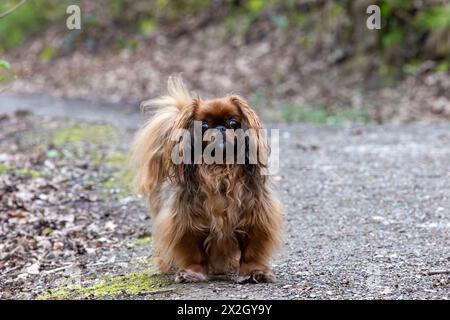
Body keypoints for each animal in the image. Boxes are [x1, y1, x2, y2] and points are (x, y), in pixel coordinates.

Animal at [132, 76, 284, 284]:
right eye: (203, 126)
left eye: (233, 122)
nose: (220, 128)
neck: (220, 170)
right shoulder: (187, 222)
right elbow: (194, 253)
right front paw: (193, 273)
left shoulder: (256, 217)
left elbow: (251, 252)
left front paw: (255, 272)